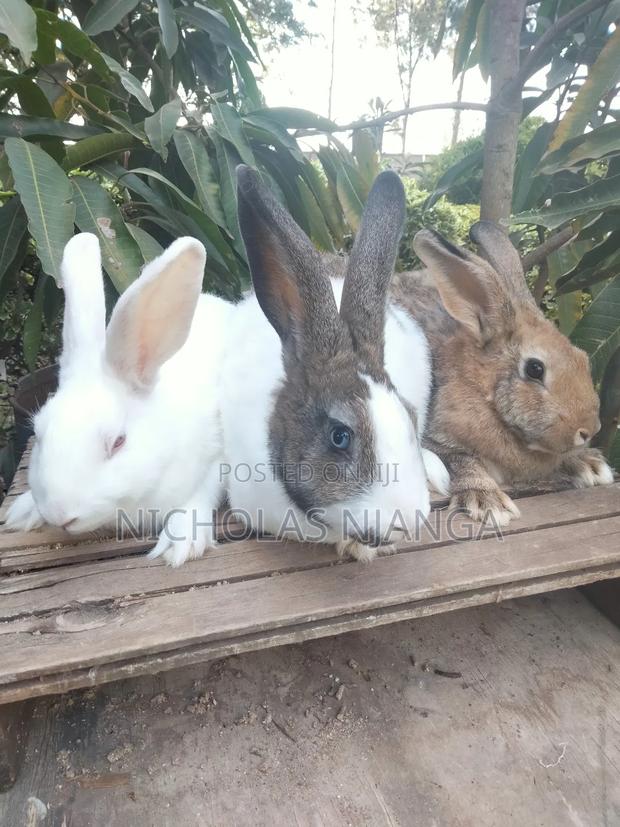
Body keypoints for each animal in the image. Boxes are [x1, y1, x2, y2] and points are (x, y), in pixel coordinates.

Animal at [6, 232, 232, 566]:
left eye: (118, 442)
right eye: (37, 433)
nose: (60, 515)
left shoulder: (216, 458)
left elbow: (200, 494)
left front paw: (179, 543)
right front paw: (23, 511)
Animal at [390, 220, 614, 527]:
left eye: (582, 357)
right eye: (535, 369)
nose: (589, 429)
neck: (484, 391)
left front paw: (590, 465)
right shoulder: (435, 441)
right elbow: (463, 462)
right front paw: (487, 502)